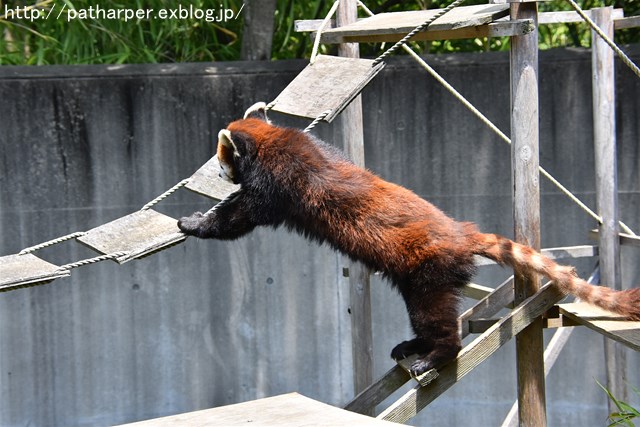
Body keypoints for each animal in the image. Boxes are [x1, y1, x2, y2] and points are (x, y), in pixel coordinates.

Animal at [179, 102, 640, 376]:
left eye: (221, 158)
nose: (217, 172)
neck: (275, 144)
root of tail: (462, 232)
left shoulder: (278, 185)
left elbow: (237, 220)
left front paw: (194, 222)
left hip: (430, 271)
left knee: (435, 317)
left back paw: (436, 355)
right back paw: (412, 345)